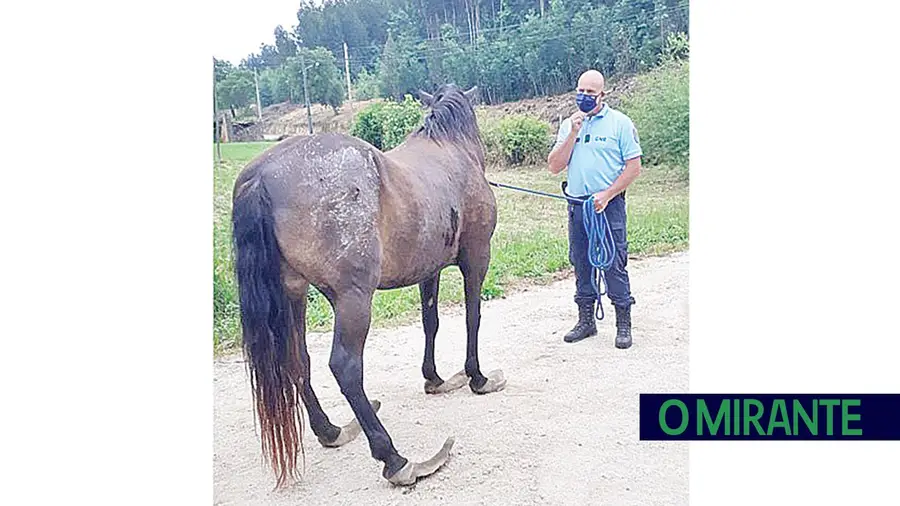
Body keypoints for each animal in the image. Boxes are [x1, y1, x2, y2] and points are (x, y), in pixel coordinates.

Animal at [230, 85, 506, 488]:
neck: (452, 149)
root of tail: (262, 177)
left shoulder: (430, 270)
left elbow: (431, 322)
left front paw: (435, 379)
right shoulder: (476, 258)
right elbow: (473, 318)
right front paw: (477, 377)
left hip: (292, 293)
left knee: (297, 359)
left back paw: (331, 431)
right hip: (353, 298)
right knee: (345, 367)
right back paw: (395, 459)